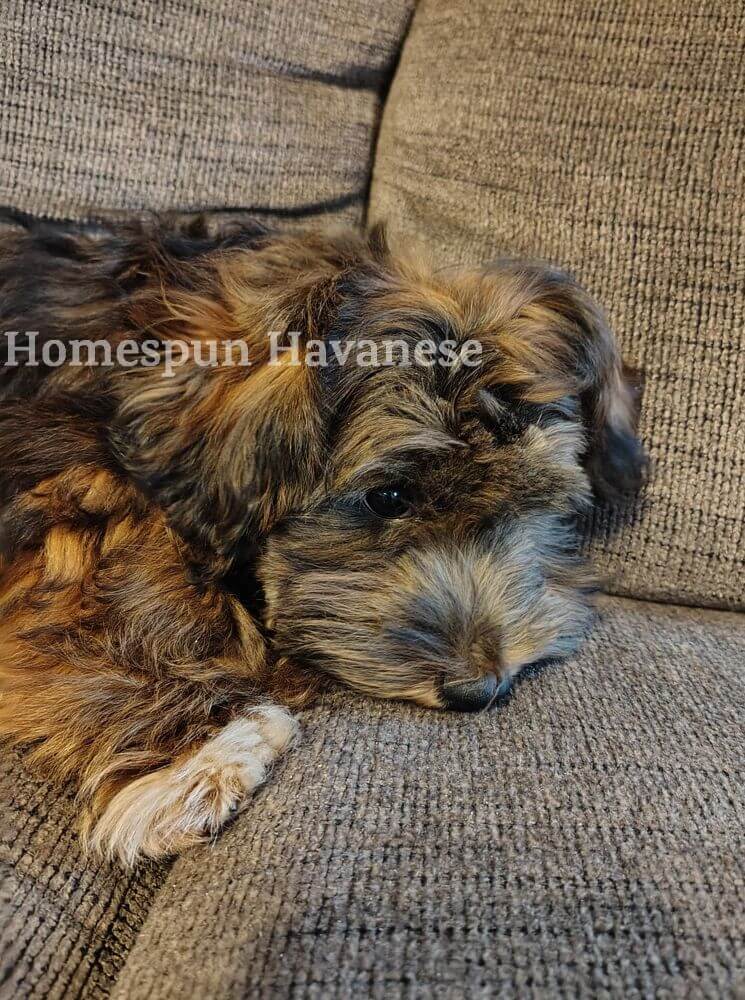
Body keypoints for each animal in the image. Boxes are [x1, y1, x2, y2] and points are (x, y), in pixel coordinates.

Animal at [0, 212, 645, 865]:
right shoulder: (67, 501)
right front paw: (208, 757)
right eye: (388, 496)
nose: (477, 688)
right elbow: (134, 593)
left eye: (531, 497)